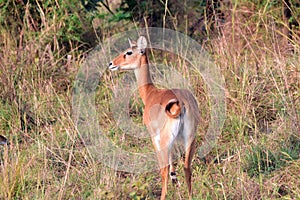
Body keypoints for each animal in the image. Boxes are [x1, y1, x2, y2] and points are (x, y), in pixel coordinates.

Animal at [108, 36, 199, 200]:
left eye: (128, 52)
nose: (111, 64)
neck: (150, 93)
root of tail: (182, 103)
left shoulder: (154, 138)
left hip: (165, 140)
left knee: (164, 169)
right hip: (190, 138)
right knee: (187, 167)